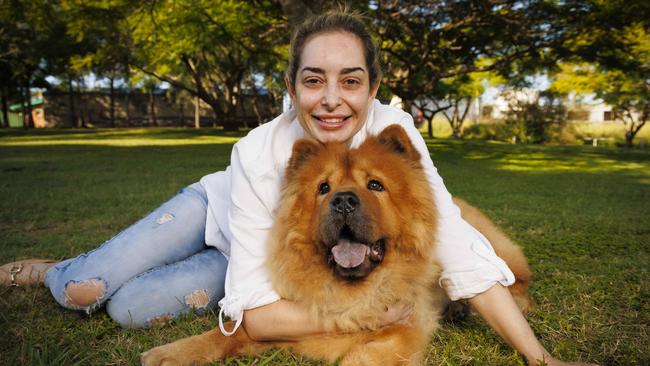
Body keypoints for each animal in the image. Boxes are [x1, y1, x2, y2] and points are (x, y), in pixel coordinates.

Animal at [139, 126, 528, 366]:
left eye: (375, 185)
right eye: (323, 188)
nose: (343, 200)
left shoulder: (407, 331)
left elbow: (363, 356)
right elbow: (228, 333)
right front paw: (168, 353)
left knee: (514, 281)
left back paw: (467, 306)